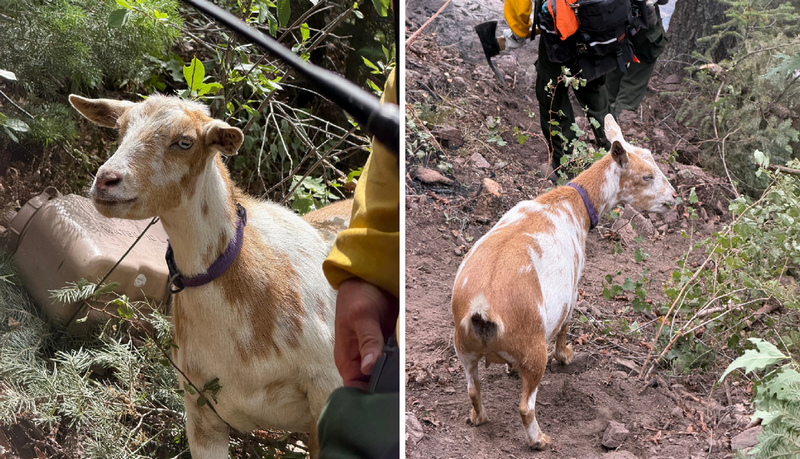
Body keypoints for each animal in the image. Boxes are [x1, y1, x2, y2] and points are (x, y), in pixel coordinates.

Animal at [451, 114, 676, 449]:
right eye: (647, 176)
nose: (674, 197)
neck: (571, 204)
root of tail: (482, 307)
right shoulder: (572, 286)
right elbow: (566, 325)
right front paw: (566, 356)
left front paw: (509, 368)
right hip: (533, 351)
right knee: (525, 405)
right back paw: (539, 440)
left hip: (463, 348)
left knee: (472, 387)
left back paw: (478, 418)